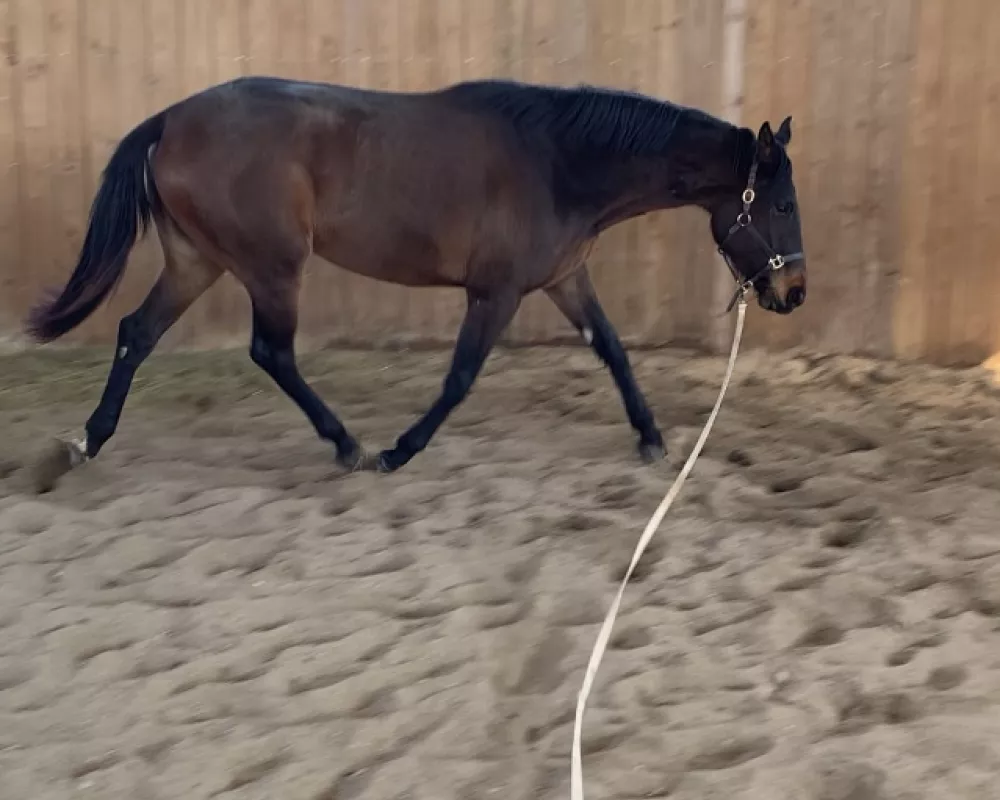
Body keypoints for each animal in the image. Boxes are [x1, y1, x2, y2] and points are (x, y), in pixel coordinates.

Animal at [23, 76, 804, 488]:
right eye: (782, 205)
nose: (793, 292)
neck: (558, 162)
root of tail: (170, 119)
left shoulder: (564, 279)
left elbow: (613, 351)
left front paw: (650, 438)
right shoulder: (495, 293)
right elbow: (459, 378)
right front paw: (400, 449)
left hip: (198, 260)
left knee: (136, 333)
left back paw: (87, 442)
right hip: (272, 268)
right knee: (270, 352)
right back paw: (347, 445)